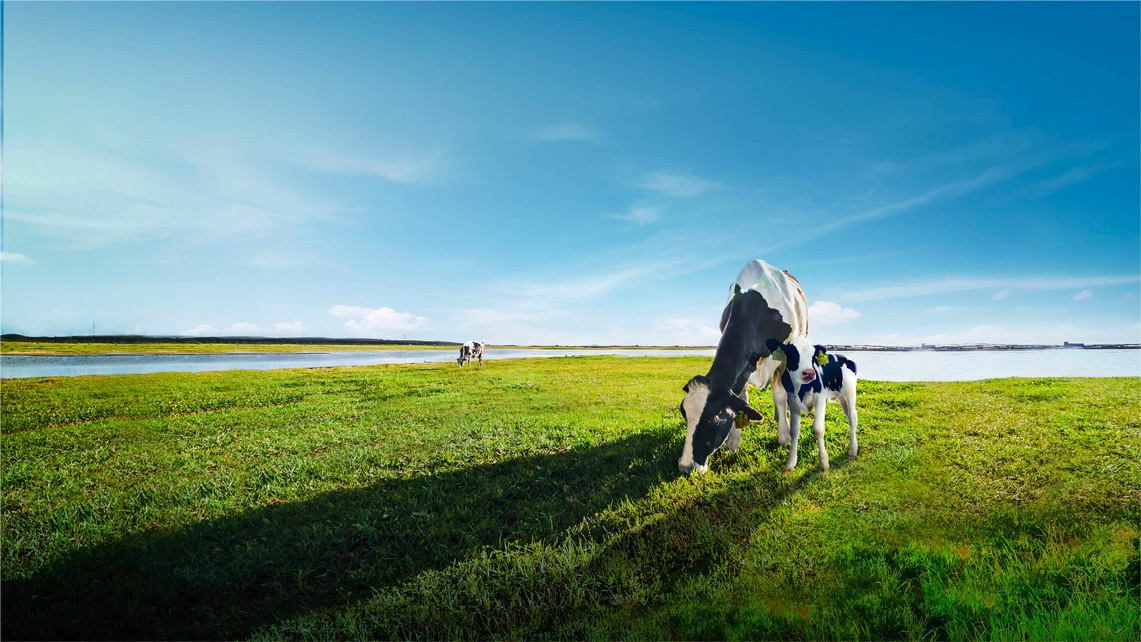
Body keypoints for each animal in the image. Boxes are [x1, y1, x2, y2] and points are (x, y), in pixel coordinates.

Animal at [678, 259, 809, 474]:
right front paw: (733, 443)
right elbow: (741, 399)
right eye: (684, 414)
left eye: (713, 419)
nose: (685, 466)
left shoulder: (783, 357)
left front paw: (784, 437)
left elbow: (779, 395)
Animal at [764, 337, 858, 472]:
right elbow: (794, 430)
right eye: (791, 353)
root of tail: (842, 356)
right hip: (841, 398)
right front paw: (790, 463)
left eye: (813, 356)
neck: (802, 388)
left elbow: (818, 428)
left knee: (853, 419)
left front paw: (823, 463)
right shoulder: (792, 401)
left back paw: (853, 450)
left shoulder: (820, 398)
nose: (809, 373)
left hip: (850, 393)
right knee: (848, 417)